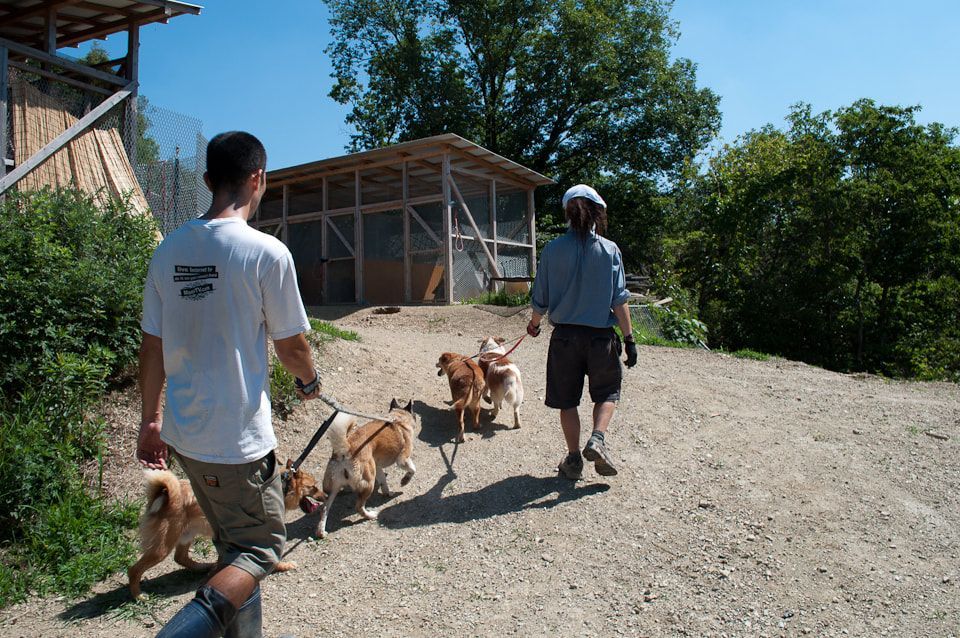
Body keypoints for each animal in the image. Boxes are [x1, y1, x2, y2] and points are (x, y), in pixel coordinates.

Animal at [125, 460, 322, 600]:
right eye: (313, 487)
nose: (326, 495)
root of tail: (164, 495)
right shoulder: (266, 536)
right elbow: (273, 557)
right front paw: (284, 565)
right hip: (162, 547)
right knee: (134, 570)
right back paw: (138, 595)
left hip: (186, 535)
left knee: (180, 557)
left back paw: (203, 566)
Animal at [316, 400, 418, 540]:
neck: (398, 419)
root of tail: (346, 451)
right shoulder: (402, 459)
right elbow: (413, 469)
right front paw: (404, 481)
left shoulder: (378, 467)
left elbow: (383, 482)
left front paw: (388, 493)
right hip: (368, 482)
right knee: (359, 506)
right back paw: (370, 515)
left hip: (334, 488)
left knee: (325, 509)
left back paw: (321, 532)